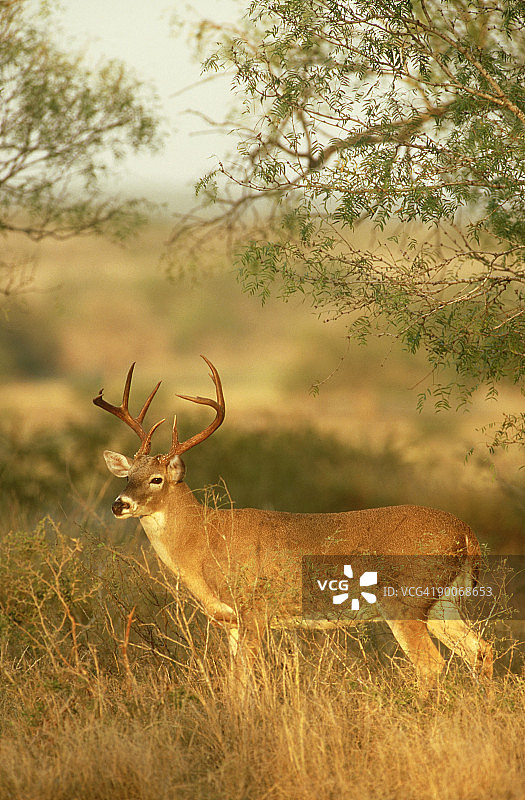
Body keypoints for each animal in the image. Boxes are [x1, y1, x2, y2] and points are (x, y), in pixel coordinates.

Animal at [94, 356, 493, 693]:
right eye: (128, 475)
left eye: (157, 479)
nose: (119, 504)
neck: (205, 539)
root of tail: (466, 534)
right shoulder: (232, 621)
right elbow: (234, 680)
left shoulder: (255, 610)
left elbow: (245, 678)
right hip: (441, 602)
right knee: (481, 649)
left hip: (403, 601)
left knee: (432, 664)